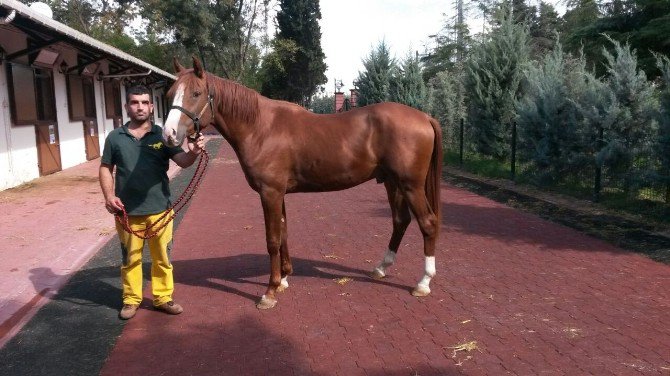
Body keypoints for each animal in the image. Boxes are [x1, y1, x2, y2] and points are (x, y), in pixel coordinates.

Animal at [165, 56, 444, 308]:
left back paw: (423, 283)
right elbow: (283, 232)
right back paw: (381, 268)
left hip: (411, 186)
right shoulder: (279, 193)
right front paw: (284, 279)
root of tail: (425, 117)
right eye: (170, 94)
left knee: (427, 223)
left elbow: (272, 240)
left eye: (196, 93)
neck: (261, 127)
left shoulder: (270, 193)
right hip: (392, 183)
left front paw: (270, 291)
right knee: (401, 221)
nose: (169, 134)